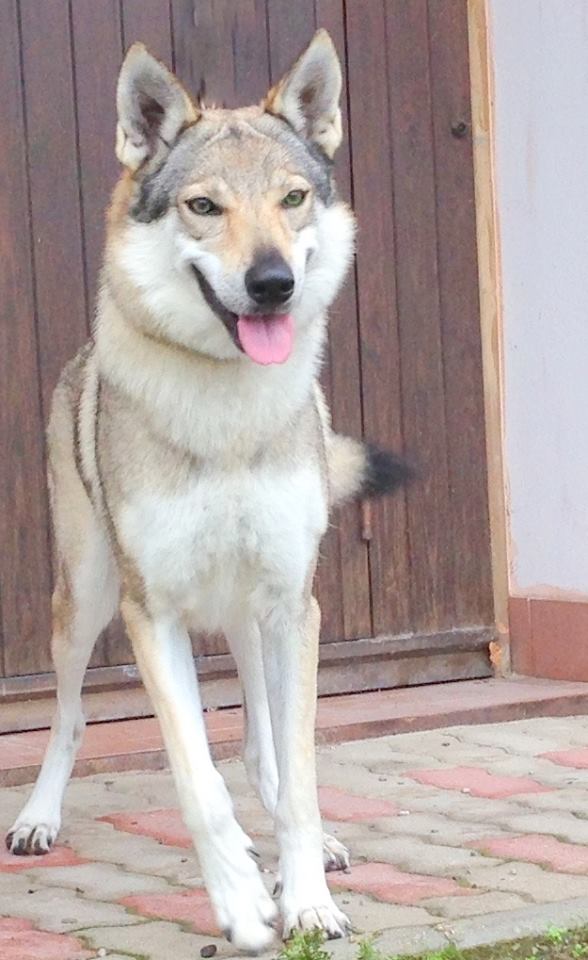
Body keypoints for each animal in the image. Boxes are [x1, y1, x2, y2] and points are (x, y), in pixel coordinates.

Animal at [6, 30, 410, 951]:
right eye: (203, 207)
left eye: (293, 199)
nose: (272, 283)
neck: (227, 415)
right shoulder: (150, 615)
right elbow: (198, 782)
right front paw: (241, 903)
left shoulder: (295, 605)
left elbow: (296, 774)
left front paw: (306, 899)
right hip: (85, 600)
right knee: (73, 716)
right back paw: (39, 818)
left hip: (257, 620)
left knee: (265, 750)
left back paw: (313, 851)